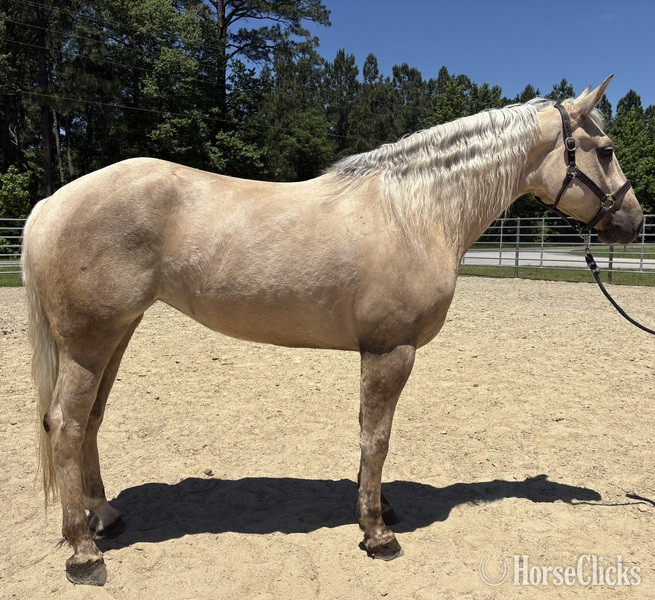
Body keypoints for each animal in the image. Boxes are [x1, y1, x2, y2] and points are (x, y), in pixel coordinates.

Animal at [22, 76, 643, 586]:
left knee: (90, 421)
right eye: (607, 150)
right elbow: (378, 437)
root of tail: (52, 203)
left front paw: (380, 511)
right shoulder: (391, 350)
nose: (634, 222)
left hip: (116, 335)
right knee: (67, 425)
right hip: (89, 343)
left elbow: (370, 434)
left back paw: (105, 518)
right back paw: (83, 552)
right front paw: (377, 534)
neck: (415, 213)